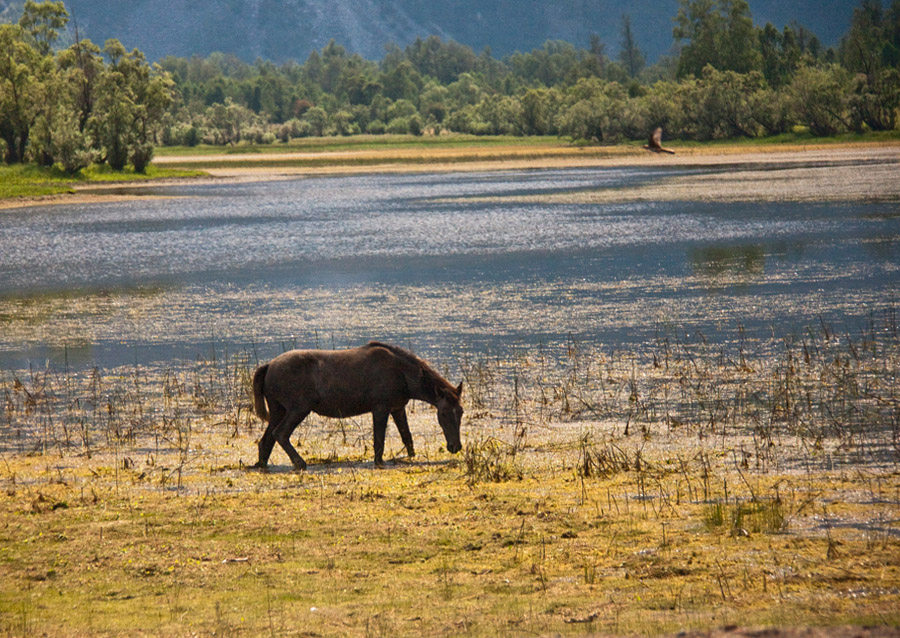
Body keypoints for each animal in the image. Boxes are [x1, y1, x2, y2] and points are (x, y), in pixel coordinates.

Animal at [251, 342, 464, 472]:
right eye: (444, 413)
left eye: (461, 412)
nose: (455, 446)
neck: (405, 377)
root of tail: (268, 366)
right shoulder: (380, 407)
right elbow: (379, 440)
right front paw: (379, 462)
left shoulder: (397, 408)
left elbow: (407, 437)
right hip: (298, 408)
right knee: (280, 434)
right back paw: (300, 463)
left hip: (278, 409)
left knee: (266, 440)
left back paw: (262, 464)